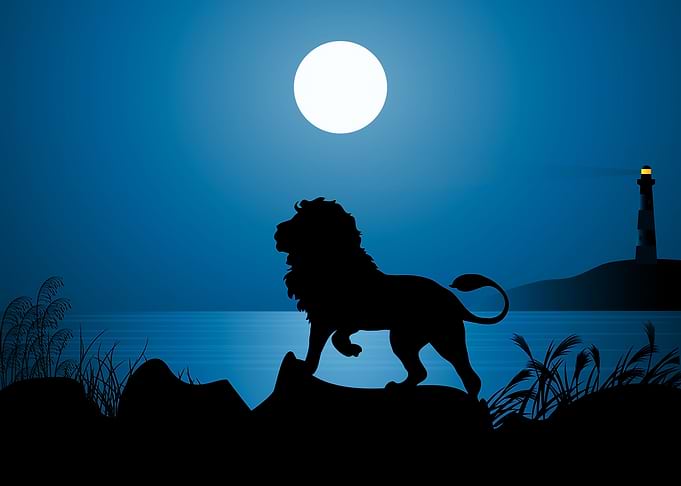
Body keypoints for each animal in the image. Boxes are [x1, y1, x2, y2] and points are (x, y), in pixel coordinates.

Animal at [274, 197, 508, 397]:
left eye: (301, 220)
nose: (277, 230)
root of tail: (453, 300)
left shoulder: (327, 319)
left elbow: (317, 347)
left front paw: (315, 364)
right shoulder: (343, 321)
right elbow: (334, 339)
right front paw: (351, 350)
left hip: (423, 338)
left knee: (451, 373)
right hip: (424, 338)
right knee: (441, 373)